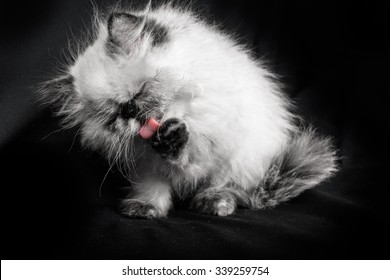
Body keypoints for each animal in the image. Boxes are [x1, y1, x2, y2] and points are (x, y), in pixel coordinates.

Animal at [40, 2, 338, 219]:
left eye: (141, 91)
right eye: (115, 116)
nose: (131, 112)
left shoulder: (212, 138)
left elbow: (190, 155)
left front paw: (174, 138)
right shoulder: (147, 165)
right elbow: (155, 186)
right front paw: (147, 208)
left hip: (244, 158)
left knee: (230, 187)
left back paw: (215, 202)